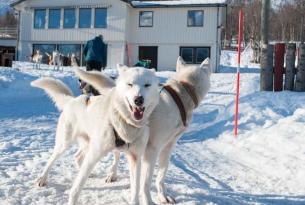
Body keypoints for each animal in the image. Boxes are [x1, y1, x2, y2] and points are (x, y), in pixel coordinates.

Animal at [30, 65, 159, 205]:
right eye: (130, 84)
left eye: (147, 85)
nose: (138, 100)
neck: (127, 122)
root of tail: (72, 100)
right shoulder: (94, 154)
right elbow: (77, 187)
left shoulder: (135, 158)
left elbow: (135, 188)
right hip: (65, 143)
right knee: (52, 159)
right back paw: (42, 178)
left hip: (88, 144)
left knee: (78, 157)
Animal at [75, 56, 209, 204]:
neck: (180, 94)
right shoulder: (151, 149)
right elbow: (145, 181)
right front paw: (148, 198)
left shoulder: (168, 146)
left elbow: (161, 173)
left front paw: (163, 195)